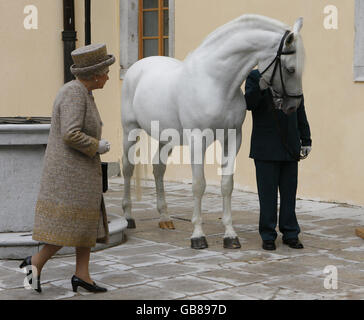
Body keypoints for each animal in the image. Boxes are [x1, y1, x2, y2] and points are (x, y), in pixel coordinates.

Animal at [121, 13, 306, 250]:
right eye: (290, 69)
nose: (293, 106)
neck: (216, 83)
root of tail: (137, 67)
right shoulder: (197, 141)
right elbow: (199, 185)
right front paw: (198, 236)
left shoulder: (233, 138)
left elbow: (227, 184)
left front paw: (230, 235)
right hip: (130, 131)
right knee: (127, 168)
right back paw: (128, 217)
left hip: (166, 138)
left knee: (158, 169)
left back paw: (164, 218)